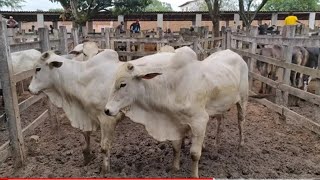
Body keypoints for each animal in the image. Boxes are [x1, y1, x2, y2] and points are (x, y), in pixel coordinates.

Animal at [105, 47, 250, 177]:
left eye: (123, 84)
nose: (107, 110)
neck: (173, 85)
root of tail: (235, 54)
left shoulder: (200, 121)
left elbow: (194, 154)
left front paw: (194, 175)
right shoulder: (176, 122)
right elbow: (176, 147)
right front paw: (175, 168)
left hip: (243, 100)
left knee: (241, 121)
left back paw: (241, 146)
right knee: (220, 121)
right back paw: (215, 144)